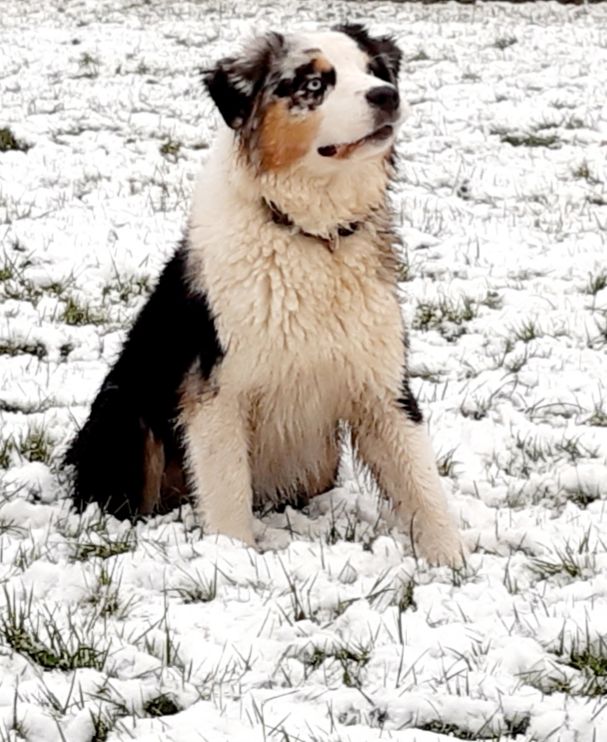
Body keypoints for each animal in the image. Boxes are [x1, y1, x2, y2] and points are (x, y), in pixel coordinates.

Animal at [65, 24, 466, 568]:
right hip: (124, 413)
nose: (387, 96)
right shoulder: (216, 390)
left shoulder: (380, 380)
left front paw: (453, 561)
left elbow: (420, 480)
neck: (311, 236)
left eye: (374, 71)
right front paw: (233, 559)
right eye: (314, 84)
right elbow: (227, 490)